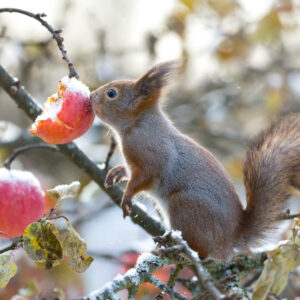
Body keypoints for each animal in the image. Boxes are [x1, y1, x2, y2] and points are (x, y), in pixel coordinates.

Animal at [90, 61, 300, 260]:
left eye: (111, 93)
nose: (91, 96)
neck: (138, 124)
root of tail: (231, 238)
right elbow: (128, 171)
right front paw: (116, 173)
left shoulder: (152, 156)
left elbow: (144, 178)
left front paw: (127, 196)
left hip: (186, 208)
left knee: (203, 252)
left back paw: (179, 252)